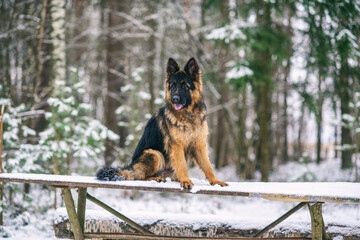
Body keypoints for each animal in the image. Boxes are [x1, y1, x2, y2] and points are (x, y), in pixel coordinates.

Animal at [97, 57, 228, 189]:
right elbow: (182, 165)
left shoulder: (199, 145)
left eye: (185, 86)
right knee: (139, 177)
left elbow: (208, 166)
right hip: (155, 154)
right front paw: (186, 181)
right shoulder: (177, 146)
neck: (188, 115)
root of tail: (131, 167)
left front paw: (215, 181)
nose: (175, 99)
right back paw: (157, 178)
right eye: (172, 86)